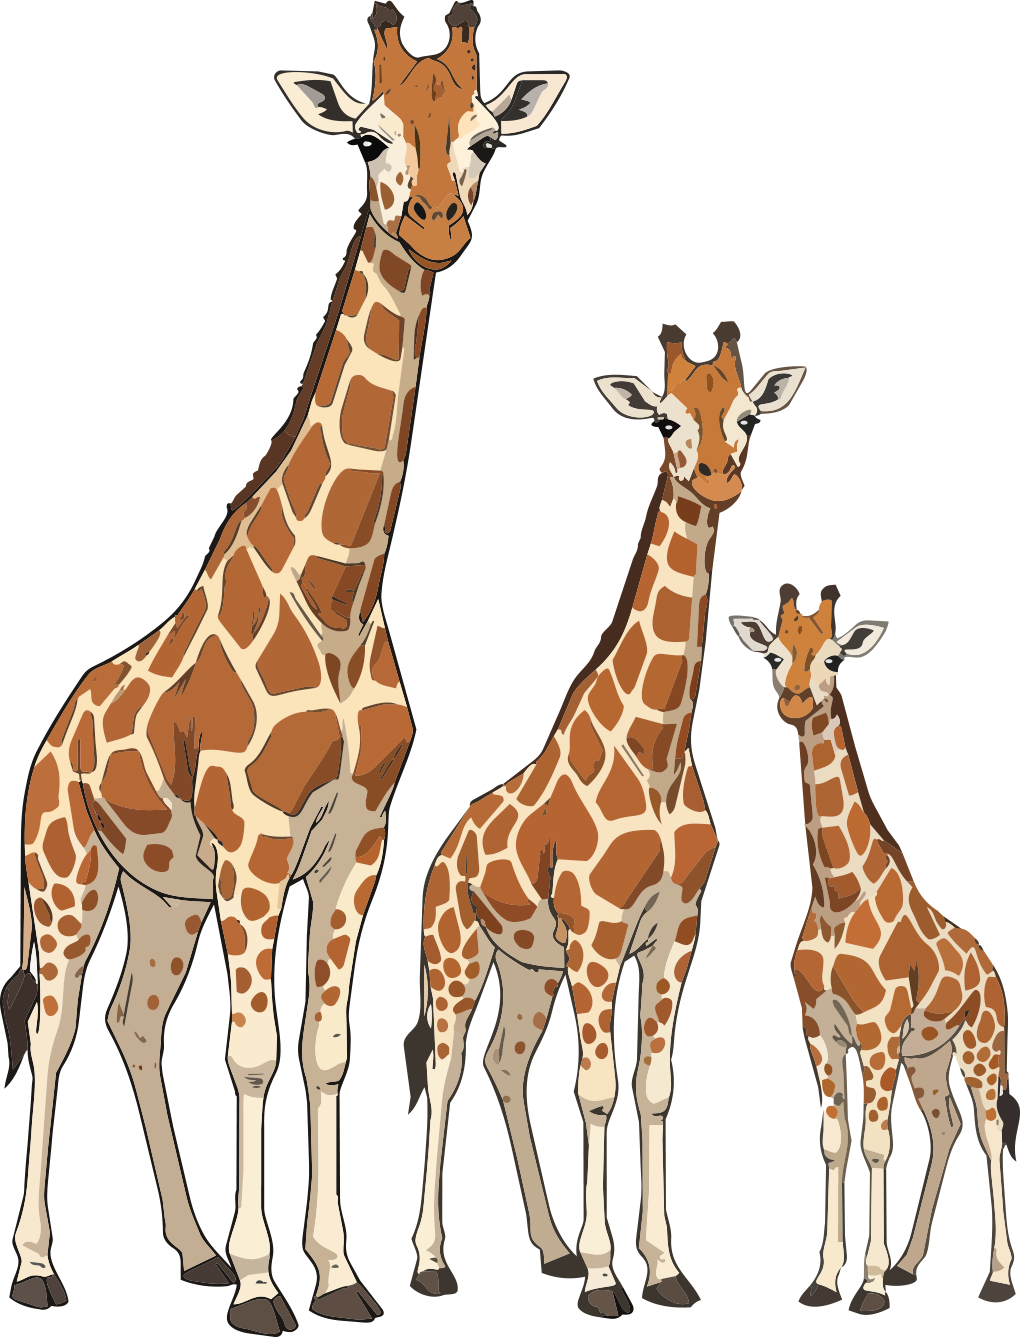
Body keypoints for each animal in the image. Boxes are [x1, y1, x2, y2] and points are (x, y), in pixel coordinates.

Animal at [2, 4, 567, 1329]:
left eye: (482, 135)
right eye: (366, 134)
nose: (436, 224)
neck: (341, 594)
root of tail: (53, 730)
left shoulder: (358, 840)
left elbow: (326, 1049)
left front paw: (340, 1269)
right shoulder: (259, 836)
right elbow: (253, 1052)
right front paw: (268, 1282)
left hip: (165, 888)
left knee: (130, 1020)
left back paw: (190, 1245)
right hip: (69, 868)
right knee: (56, 1023)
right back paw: (40, 1264)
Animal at [402, 322, 807, 1315]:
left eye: (747, 413)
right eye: (664, 418)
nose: (718, 478)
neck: (657, 750)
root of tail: (441, 852)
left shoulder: (677, 930)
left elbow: (653, 1087)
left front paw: (662, 1266)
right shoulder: (597, 927)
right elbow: (594, 1089)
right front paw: (600, 1275)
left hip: (529, 965)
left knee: (504, 1064)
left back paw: (545, 1247)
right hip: (457, 950)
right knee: (445, 1068)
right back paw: (434, 1261)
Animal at [729, 585, 1018, 1313]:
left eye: (835, 657)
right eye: (772, 655)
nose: (794, 700)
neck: (837, 894)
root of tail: (992, 968)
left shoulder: (878, 1027)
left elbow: (879, 1146)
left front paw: (868, 1285)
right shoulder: (818, 1027)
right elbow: (836, 1142)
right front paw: (826, 1277)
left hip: (979, 1044)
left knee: (989, 1130)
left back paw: (998, 1276)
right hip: (928, 1054)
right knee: (946, 1127)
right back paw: (911, 1264)